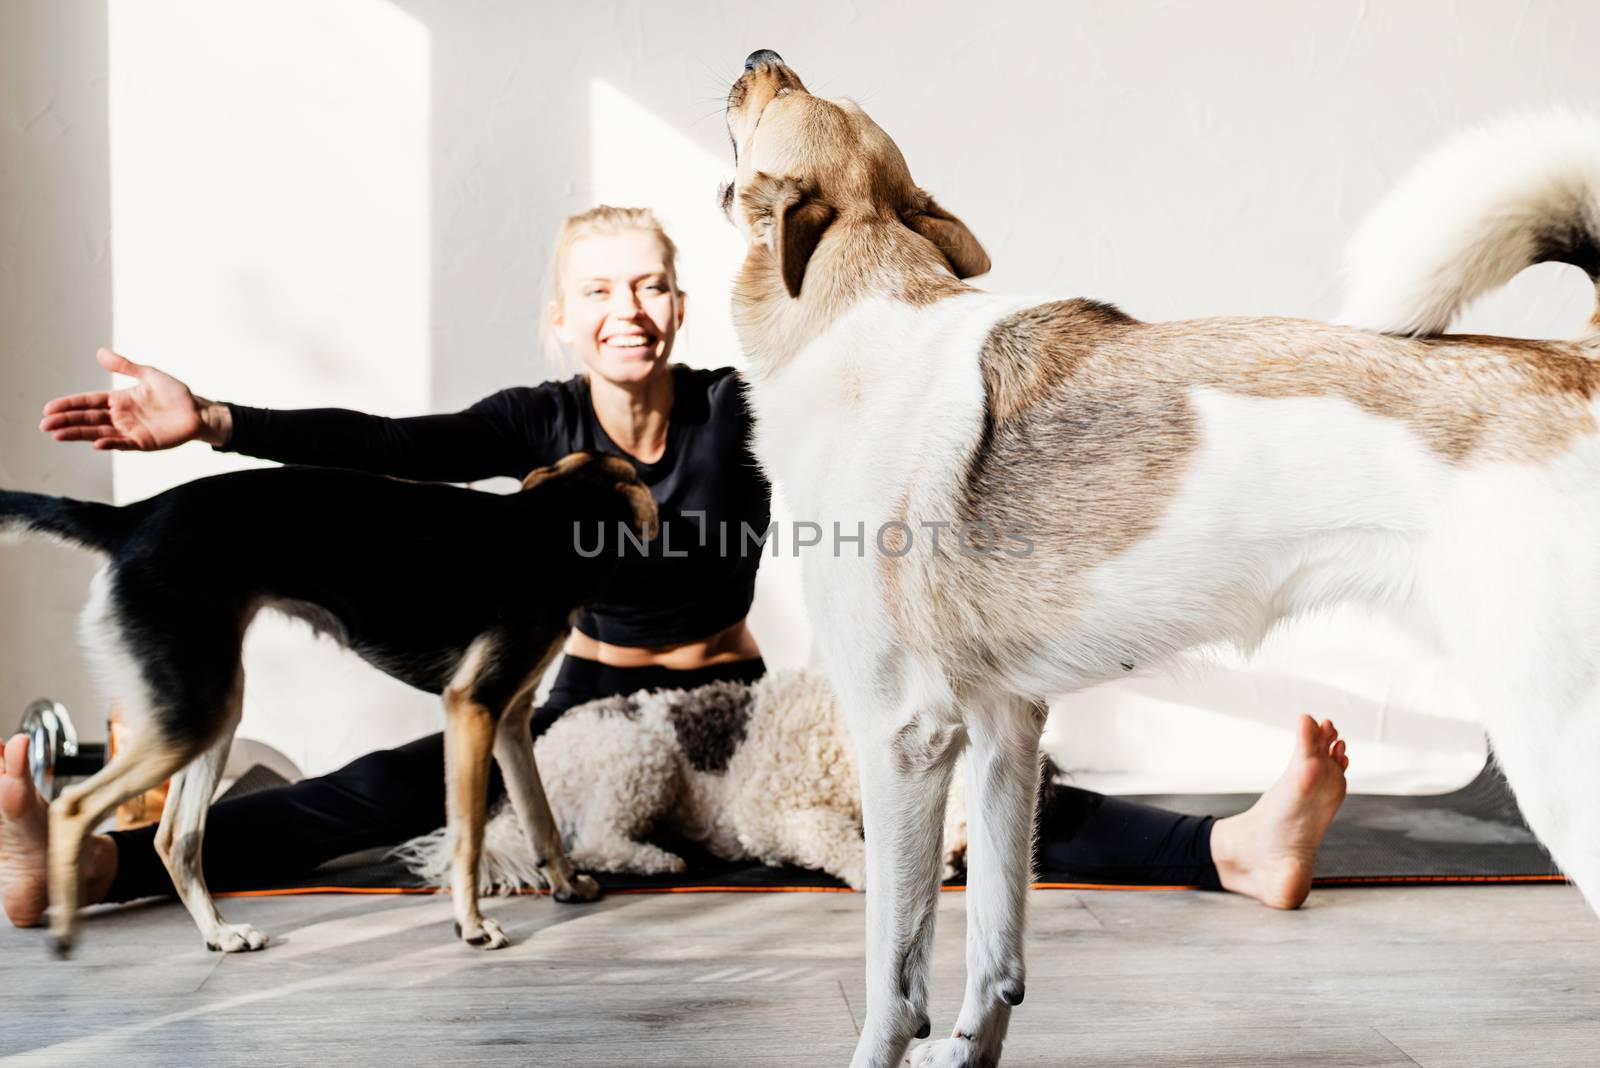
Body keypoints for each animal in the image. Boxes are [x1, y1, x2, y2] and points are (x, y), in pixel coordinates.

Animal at [0, 450, 656, 952]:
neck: (550, 523)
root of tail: (129, 517)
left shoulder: (510, 719)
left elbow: (539, 815)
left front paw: (566, 883)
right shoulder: (472, 708)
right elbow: (468, 834)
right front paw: (470, 924)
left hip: (213, 710)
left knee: (175, 838)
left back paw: (219, 933)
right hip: (196, 711)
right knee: (74, 807)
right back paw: (63, 928)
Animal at [723, 49, 1600, 1068]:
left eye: (781, 98)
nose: (759, 56)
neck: (860, 308)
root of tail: (1580, 361)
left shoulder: (904, 737)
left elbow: (893, 981)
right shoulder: (1003, 730)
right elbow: (994, 949)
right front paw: (972, 1048)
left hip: (1558, 747)